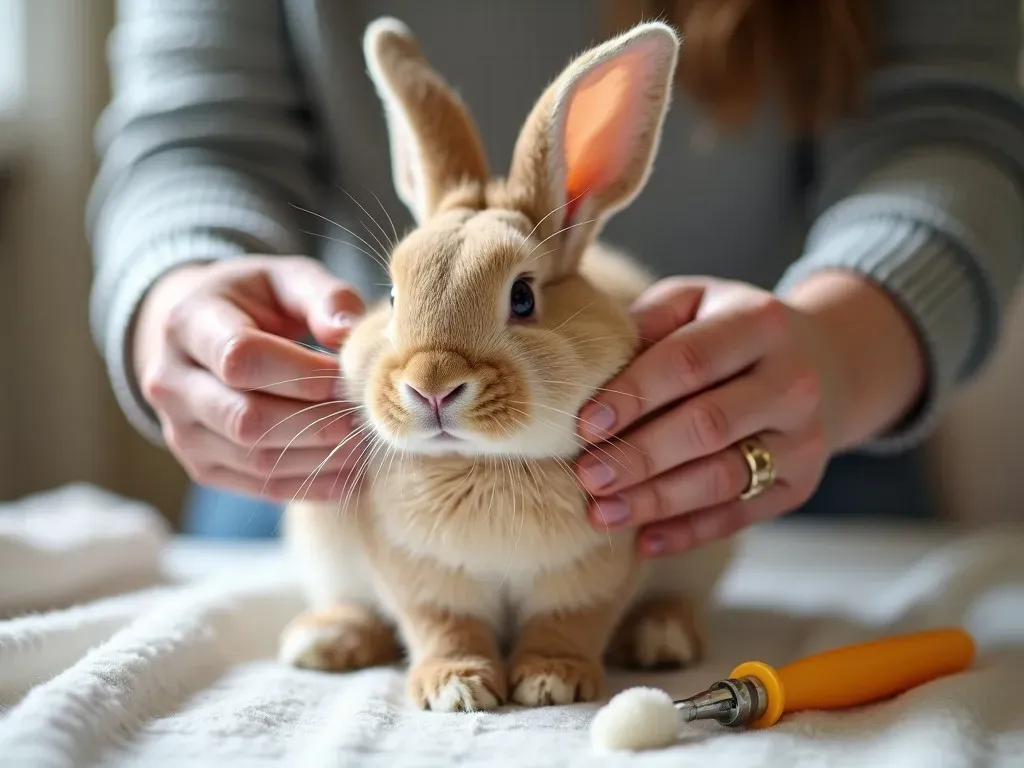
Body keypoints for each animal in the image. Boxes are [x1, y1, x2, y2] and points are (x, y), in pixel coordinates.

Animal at [278, 18, 737, 716]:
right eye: (392, 297)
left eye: (522, 297)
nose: (431, 386)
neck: (486, 464)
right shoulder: (422, 578)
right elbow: (443, 627)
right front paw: (457, 690)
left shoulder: (594, 572)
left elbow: (568, 623)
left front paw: (551, 683)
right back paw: (323, 640)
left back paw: (662, 637)